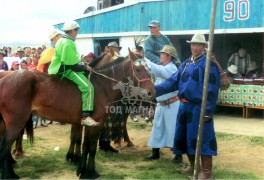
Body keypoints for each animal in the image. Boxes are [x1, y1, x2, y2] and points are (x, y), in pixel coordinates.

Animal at [0, 48, 155, 179]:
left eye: (149, 69)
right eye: (138, 69)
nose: (151, 92)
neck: (102, 85)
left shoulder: (86, 124)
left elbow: (84, 145)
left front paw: (81, 170)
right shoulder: (97, 124)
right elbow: (91, 148)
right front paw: (91, 172)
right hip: (16, 123)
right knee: (4, 148)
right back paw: (9, 175)